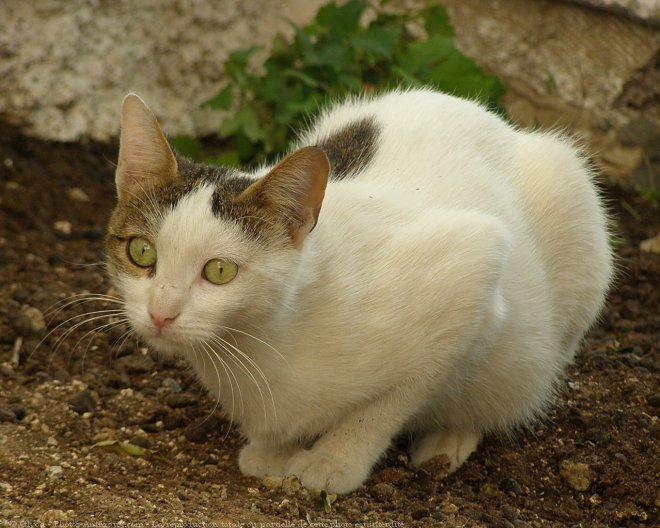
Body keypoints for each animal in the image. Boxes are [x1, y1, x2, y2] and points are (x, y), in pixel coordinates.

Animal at [104, 87, 612, 496]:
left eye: (220, 270)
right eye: (142, 252)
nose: (161, 313)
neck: (260, 341)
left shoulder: (471, 269)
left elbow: (388, 403)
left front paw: (333, 462)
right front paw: (273, 448)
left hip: (572, 212)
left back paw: (452, 436)